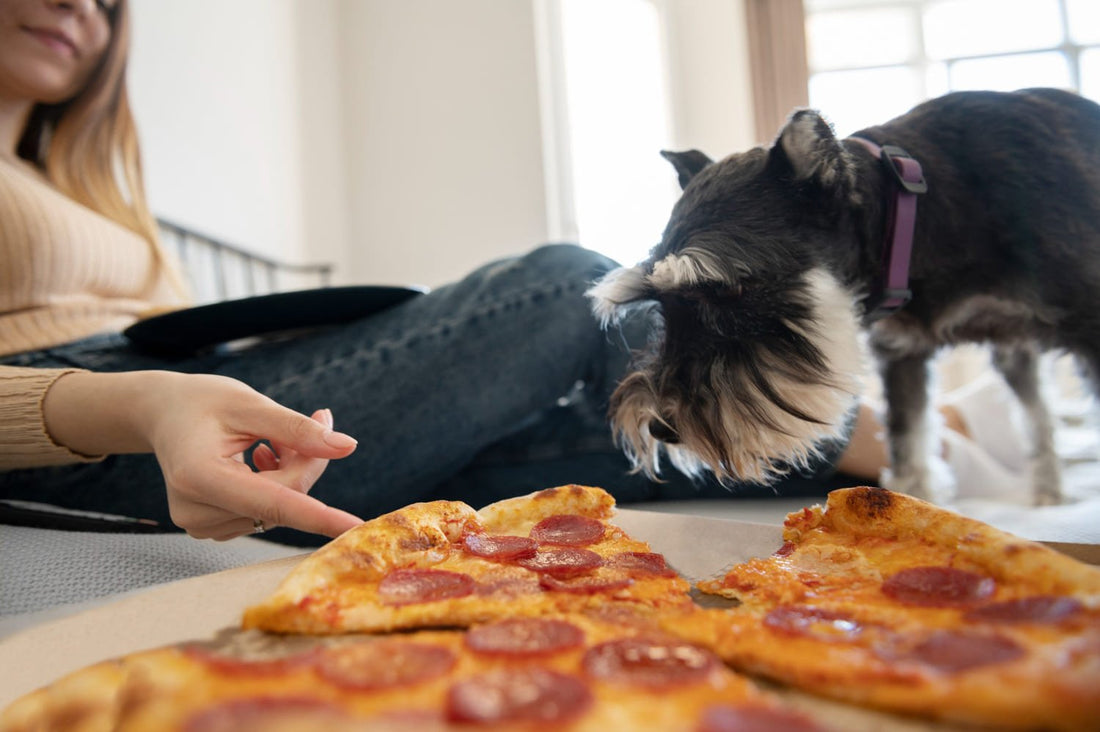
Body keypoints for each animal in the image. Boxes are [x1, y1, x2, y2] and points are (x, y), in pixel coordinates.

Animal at [585, 86, 1100, 501]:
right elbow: (910, 447)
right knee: (1037, 415)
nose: (659, 425)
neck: (919, 214)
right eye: (663, 307)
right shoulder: (902, 356)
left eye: (731, 290)